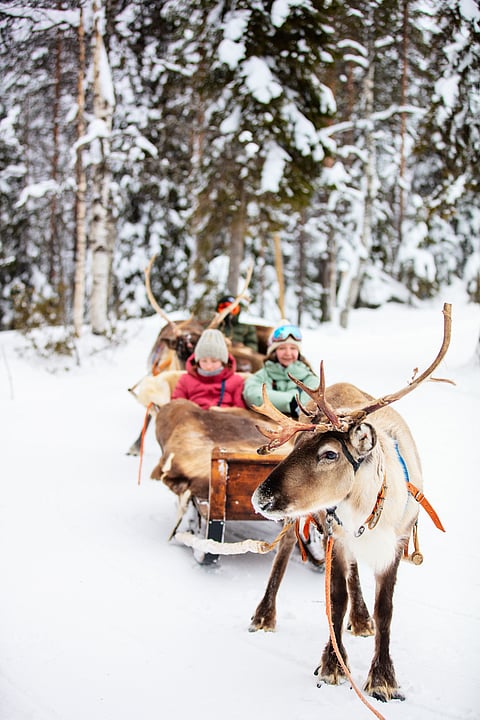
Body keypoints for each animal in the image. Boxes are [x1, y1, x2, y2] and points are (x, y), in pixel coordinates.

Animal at [249, 303, 452, 703]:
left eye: (329, 454)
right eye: (296, 446)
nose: (261, 496)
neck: (368, 511)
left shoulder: (395, 543)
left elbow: (385, 608)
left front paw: (384, 677)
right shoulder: (335, 537)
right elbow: (335, 598)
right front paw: (332, 663)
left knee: (356, 577)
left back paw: (361, 619)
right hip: (302, 522)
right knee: (284, 550)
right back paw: (264, 614)